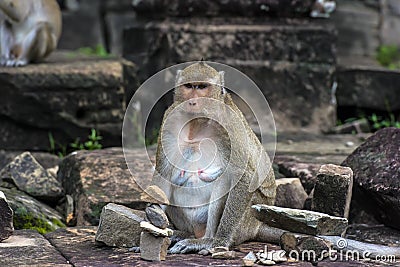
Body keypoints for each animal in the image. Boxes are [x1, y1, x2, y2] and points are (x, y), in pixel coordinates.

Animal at [152, 61, 286, 254]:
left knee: (224, 180)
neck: (197, 122)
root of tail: (256, 226)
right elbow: (163, 172)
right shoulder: (170, 118)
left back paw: (206, 240)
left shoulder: (228, 124)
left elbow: (243, 177)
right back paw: (184, 234)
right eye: (189, 86)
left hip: (246, 220)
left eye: (202, 87)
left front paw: (220, 241)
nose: (193, 101)